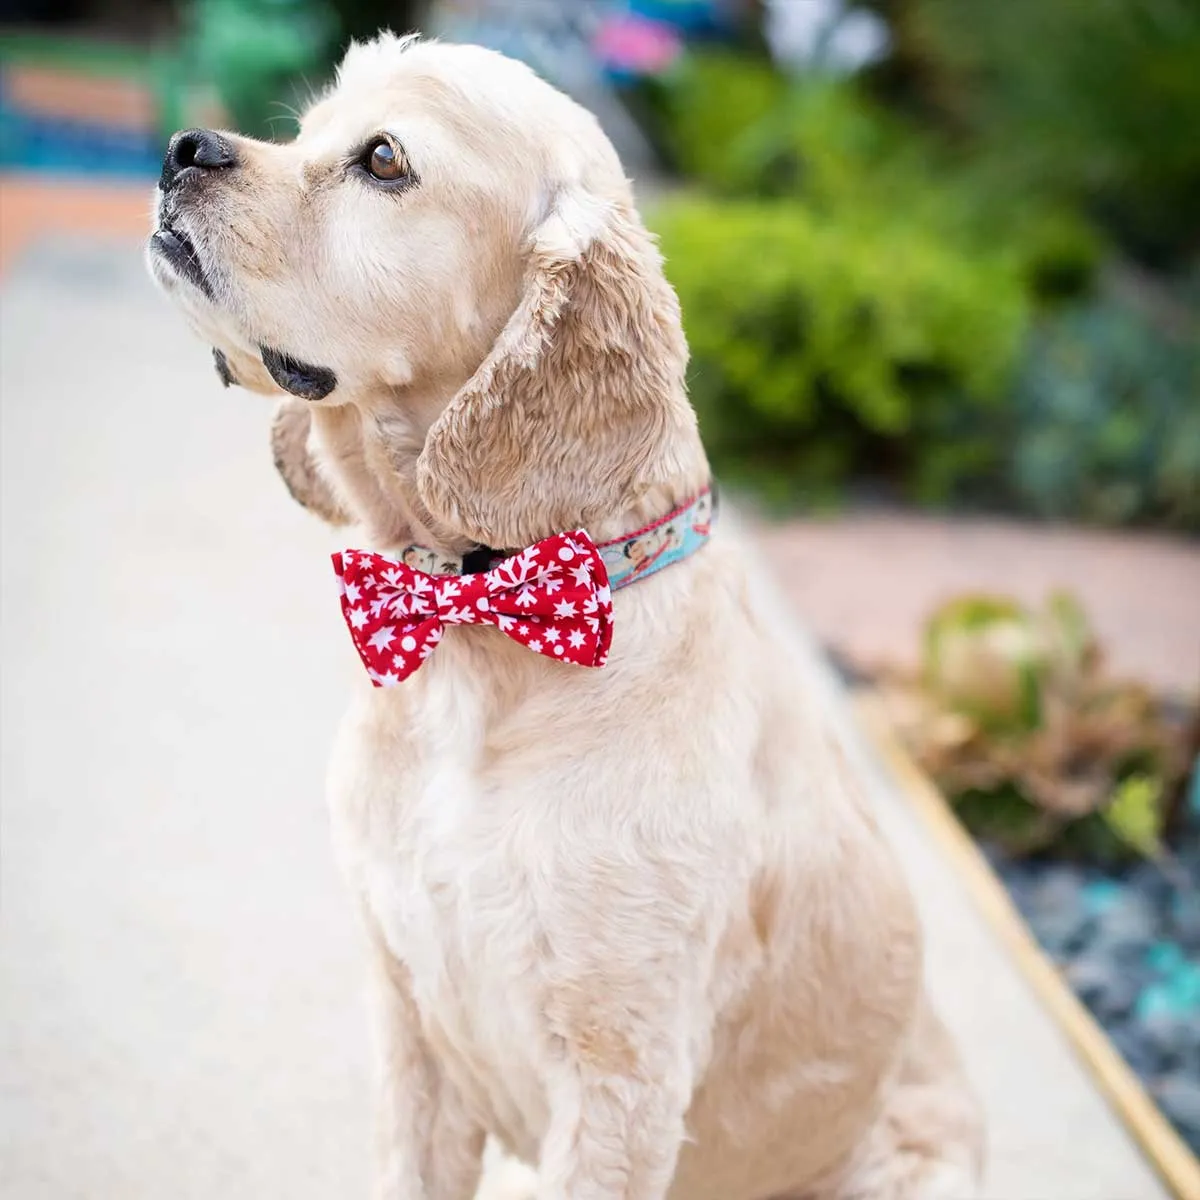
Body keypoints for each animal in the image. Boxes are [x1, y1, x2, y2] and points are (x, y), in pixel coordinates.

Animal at [145, 35, 979, 1200]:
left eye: (384, 159)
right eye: (306, 130)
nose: (185, 149)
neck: (480, 634)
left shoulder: (622, 1076)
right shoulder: (410, 1026)